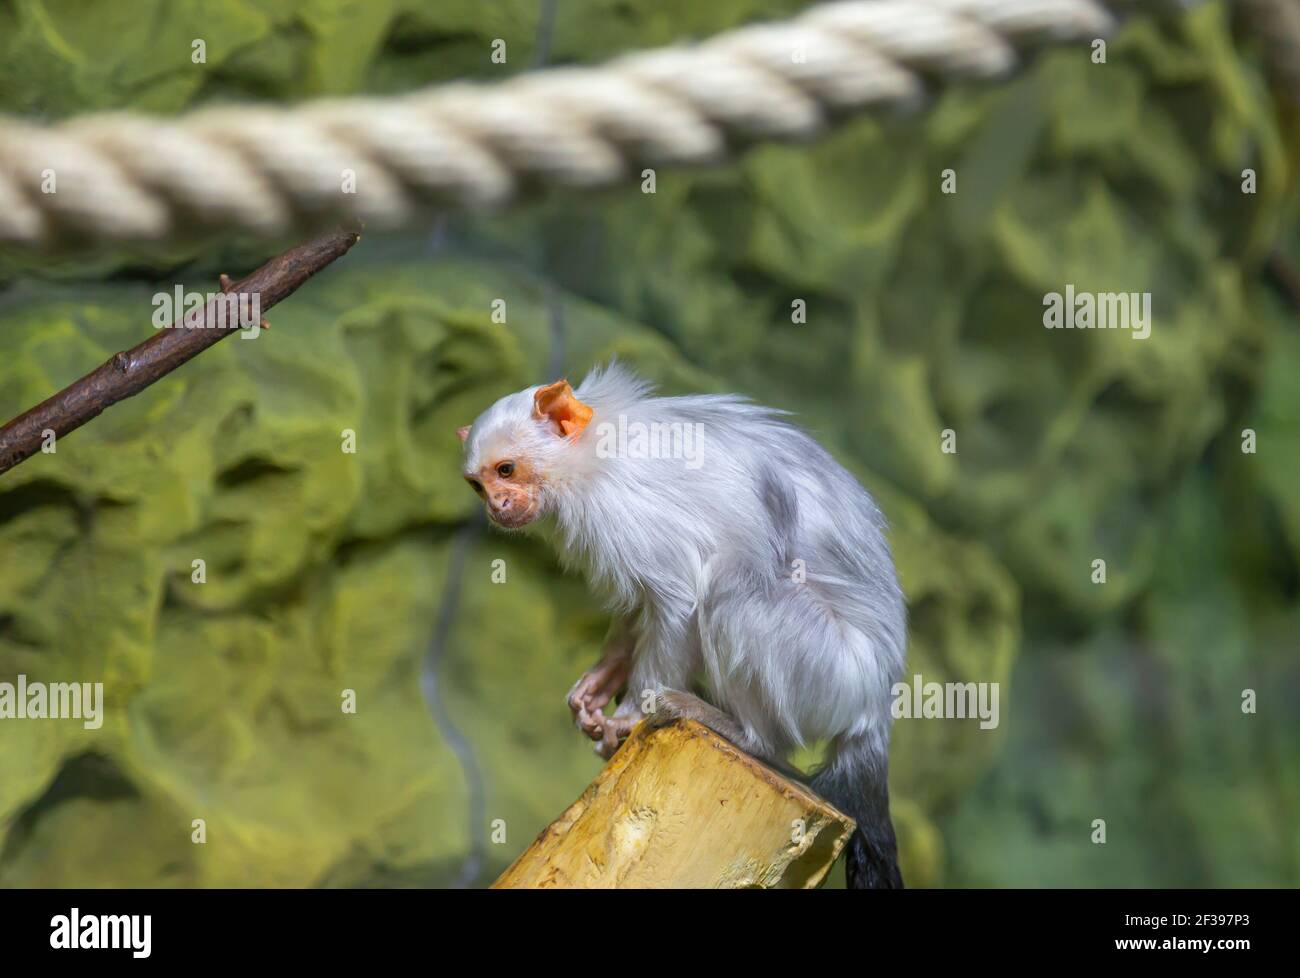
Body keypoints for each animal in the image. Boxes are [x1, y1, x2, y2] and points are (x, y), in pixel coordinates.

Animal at [458, 363, 906, 889]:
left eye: (506, 470)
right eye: (478, 484)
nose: (496, 506)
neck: (592, 456)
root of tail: (873, 706)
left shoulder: (626, 511)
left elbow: (675, 599)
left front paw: (631, 712)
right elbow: (638, 610)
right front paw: (598, 686)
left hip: (828, 668)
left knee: (734, 582)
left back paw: (741, 732)